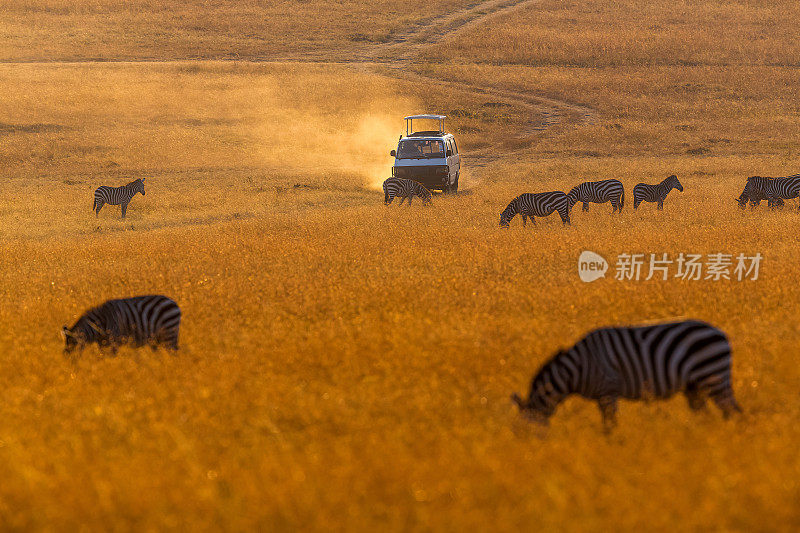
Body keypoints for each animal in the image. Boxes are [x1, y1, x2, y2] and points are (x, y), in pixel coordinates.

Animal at [510, 318, 740, 430]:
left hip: (713, 375)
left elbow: (610, 425)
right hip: (694, 386)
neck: (575, 371)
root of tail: (720, 332)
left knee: (733, 411)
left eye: (522, 432)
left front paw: (613, 448)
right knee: (708, 416)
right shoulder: (602, 397)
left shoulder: (608, 391)